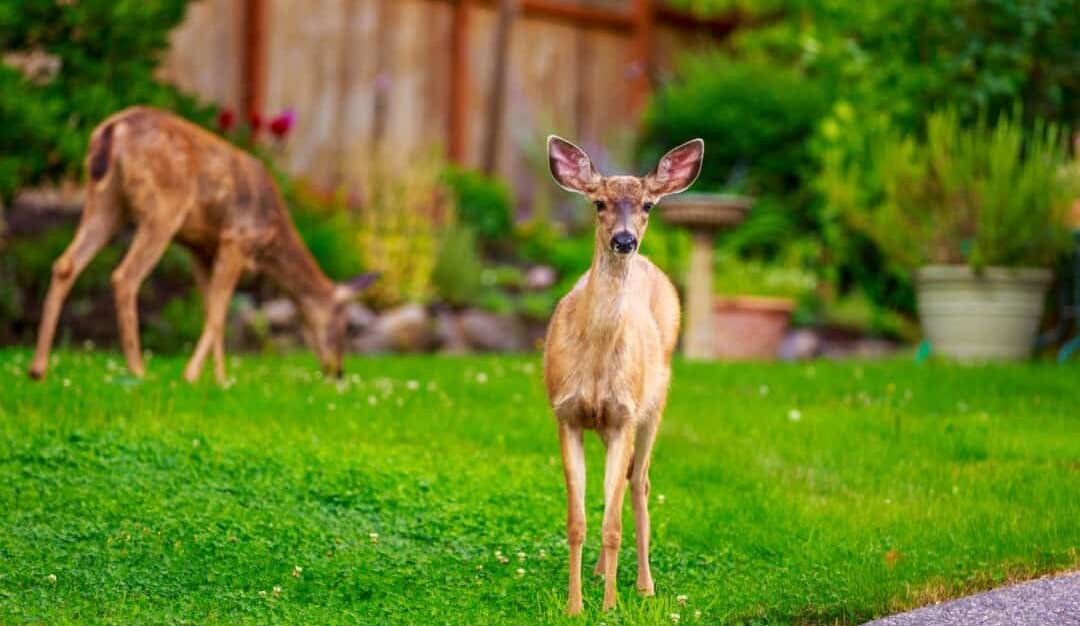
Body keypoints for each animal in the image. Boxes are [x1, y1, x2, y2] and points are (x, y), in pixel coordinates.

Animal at [28, 106, 377, 384]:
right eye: (344, 324)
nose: (338, 371)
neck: (271, 238)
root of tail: (114, 129)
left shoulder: (200, 248)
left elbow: (210, 307)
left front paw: (220, 379)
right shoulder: (235, 239)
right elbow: (219, 313)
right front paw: (194, 375)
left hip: (105, 199)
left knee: (65, 263)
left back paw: (38, 369)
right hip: (163, 208)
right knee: (125, 276)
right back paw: (138, 370)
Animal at [543, 135, 703, 614]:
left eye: (648, 204)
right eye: (599, 203)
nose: (625, 239)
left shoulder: (624, 416)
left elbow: (612, 524)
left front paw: (610, 607)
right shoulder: (567, 414)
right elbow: (577, 520)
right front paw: (575, 605)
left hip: (653, 405)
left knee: (640, 481)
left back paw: (645, 585)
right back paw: (599, 573)